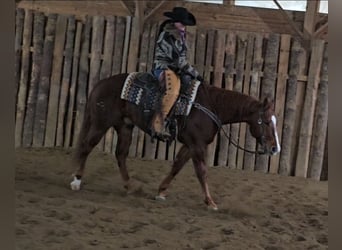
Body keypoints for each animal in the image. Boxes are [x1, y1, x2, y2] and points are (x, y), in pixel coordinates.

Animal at [69, 73, 280, 210]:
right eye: (266, 121)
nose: (274, 148)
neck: (212, 106)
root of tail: (100, 84)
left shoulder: (190, 144)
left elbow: (177, 166)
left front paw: (161, 191)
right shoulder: (197, 145)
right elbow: (202, 172)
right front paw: (210, 202)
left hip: (125, 127)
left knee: (120, 154)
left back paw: (129, 187)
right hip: (101, 124)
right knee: (86, 147)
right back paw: (76, 181)